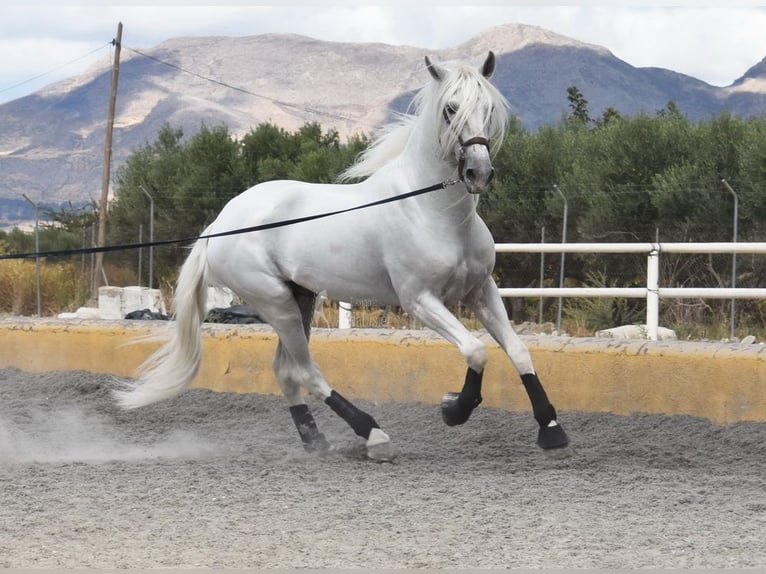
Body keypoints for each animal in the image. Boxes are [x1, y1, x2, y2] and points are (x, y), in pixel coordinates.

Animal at [115, 51, 568, 462]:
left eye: (488, 108)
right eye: (450, 108)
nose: (479, 173)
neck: (433, 210)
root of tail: (219, 224)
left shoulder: (481, 291)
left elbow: (518, 351)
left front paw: (551, 429)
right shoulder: (420, 300)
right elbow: (475, 350)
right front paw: (454, 409)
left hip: (300, 299)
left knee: (285, 370)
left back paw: (316, 441)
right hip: (274, 302)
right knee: (305, 371)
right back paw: (373, 435)